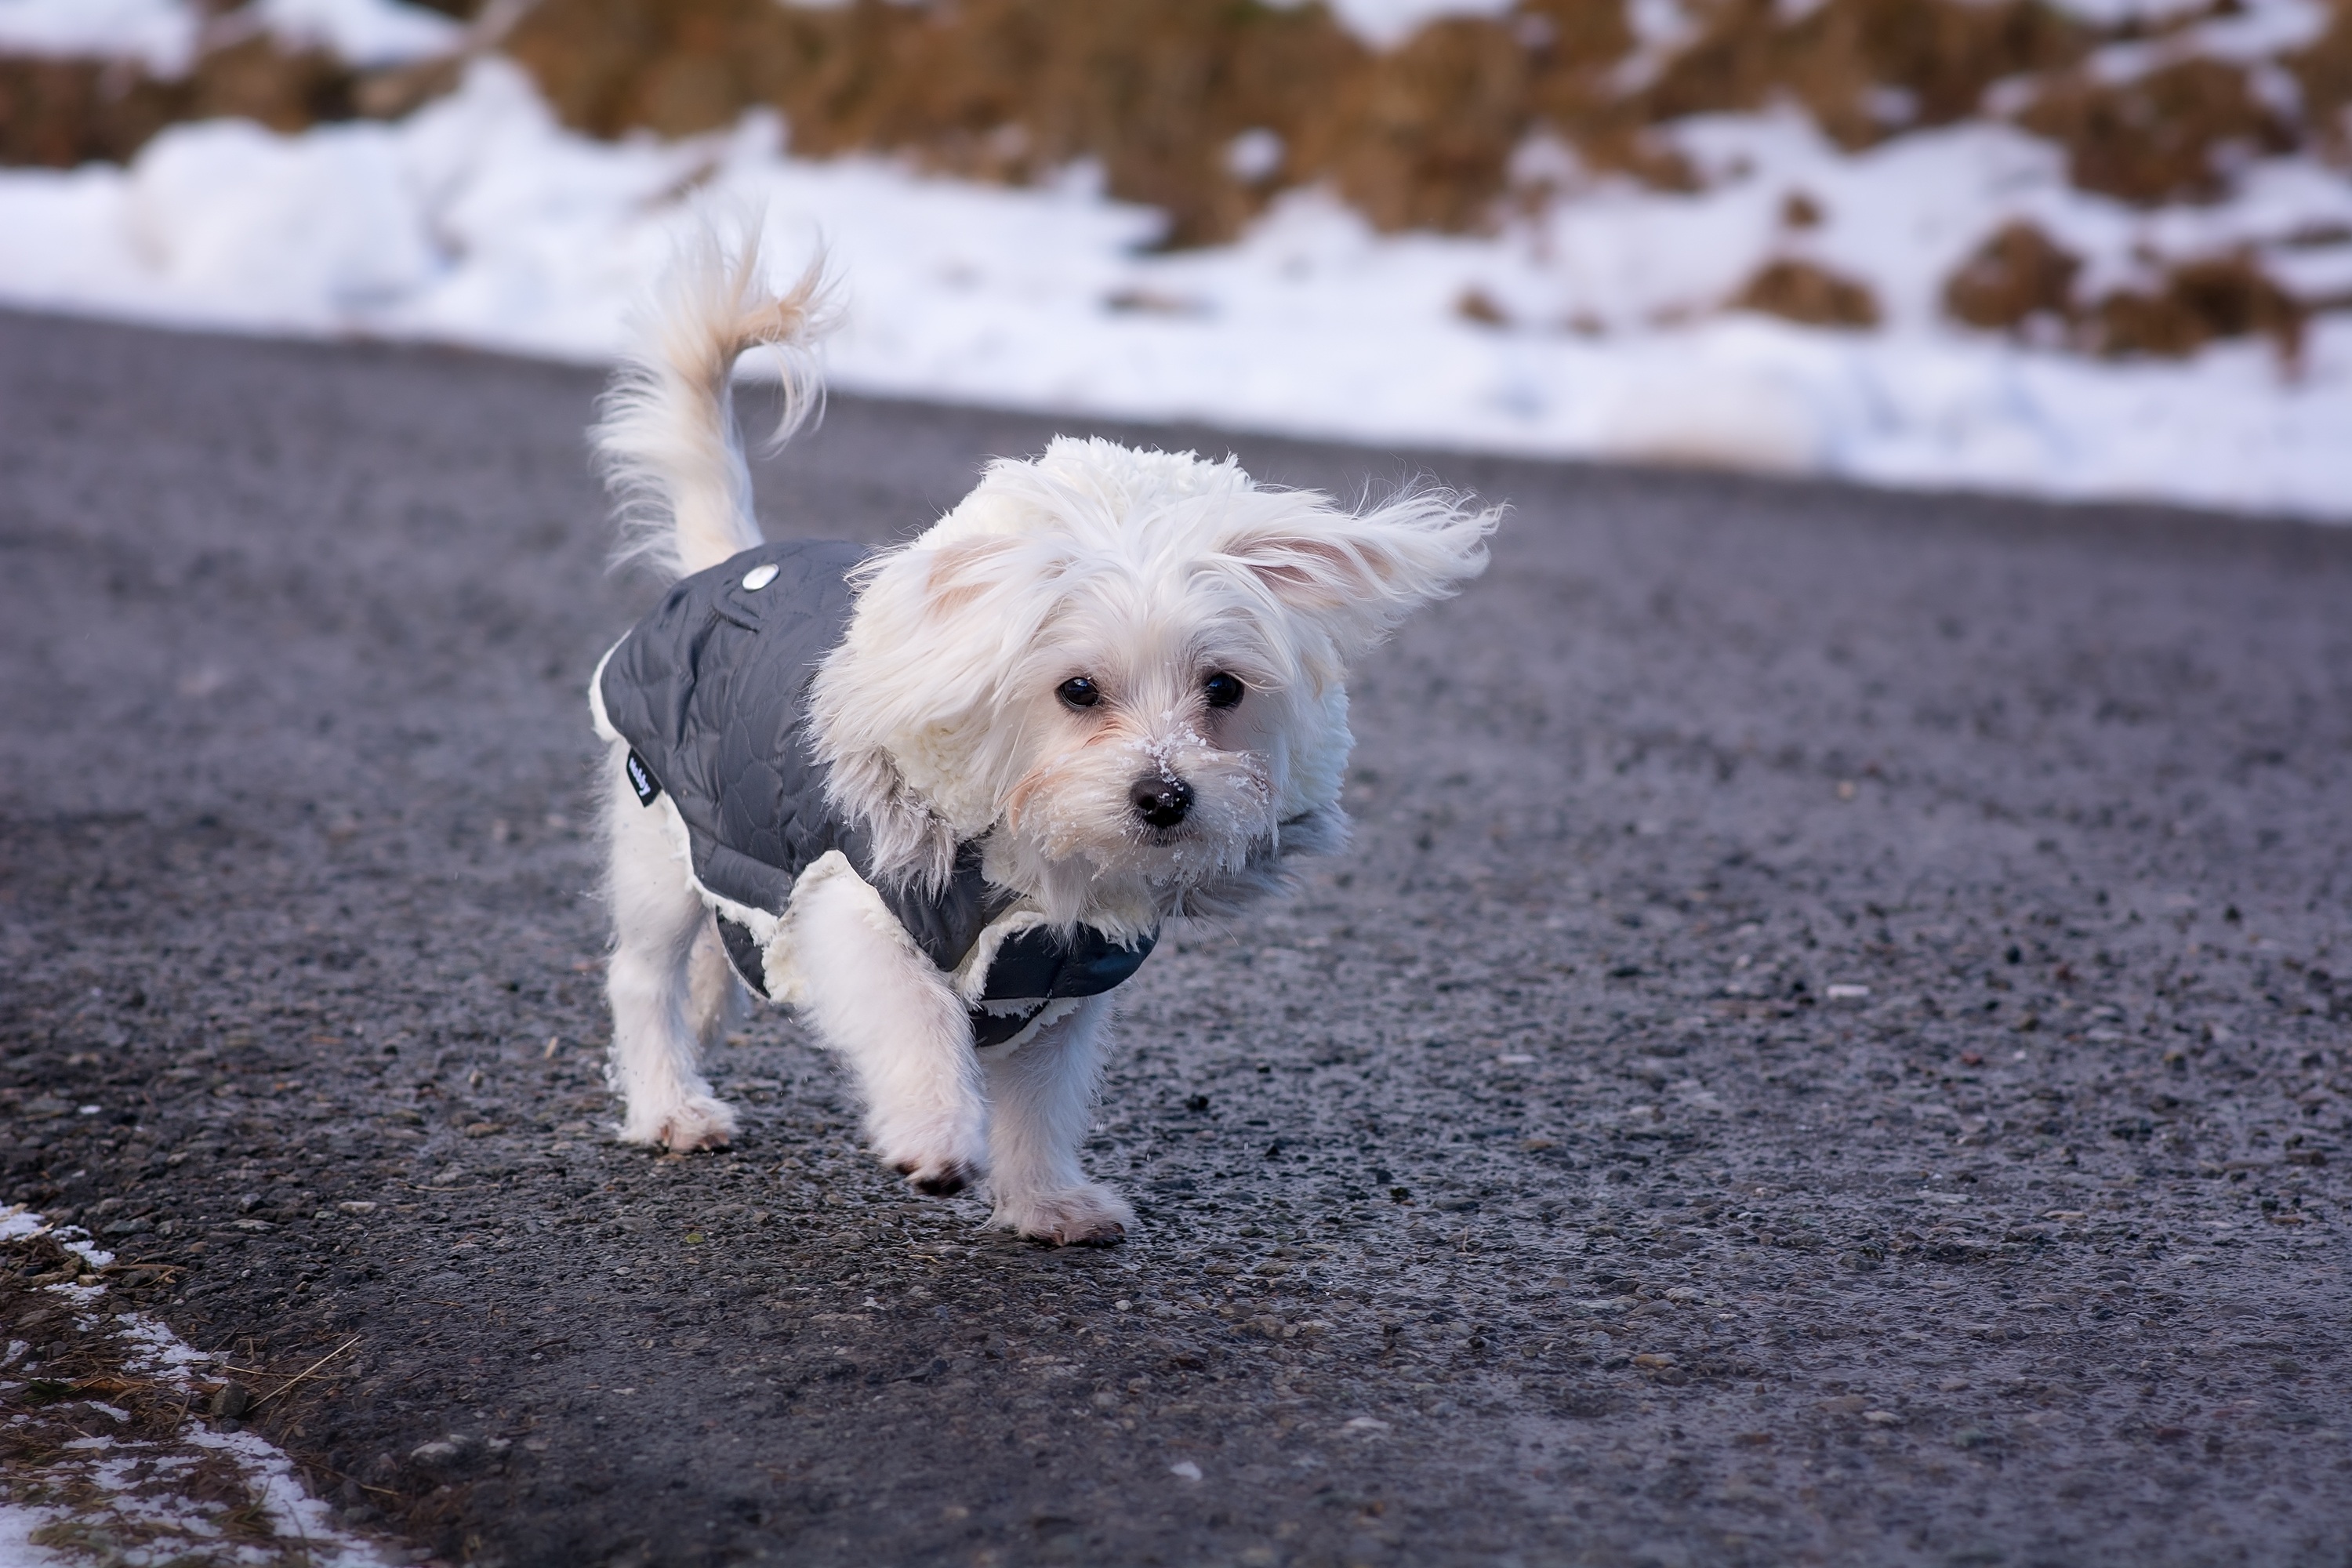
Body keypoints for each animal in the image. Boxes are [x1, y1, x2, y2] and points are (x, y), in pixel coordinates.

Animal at [588, 227, 1496, 1241]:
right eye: (1077, 690)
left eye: (1223, 688)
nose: (1165, 795)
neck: (1034, 873)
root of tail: (729, 562)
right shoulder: (857, 907)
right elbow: (918, 1017)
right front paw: (935, 1131)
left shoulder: (1063, 977)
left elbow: (1042, 1101)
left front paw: (1042, 1199)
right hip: (656, 834)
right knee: (642, 975)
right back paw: (669, 1102)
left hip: (723, 847)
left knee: (718, 943)